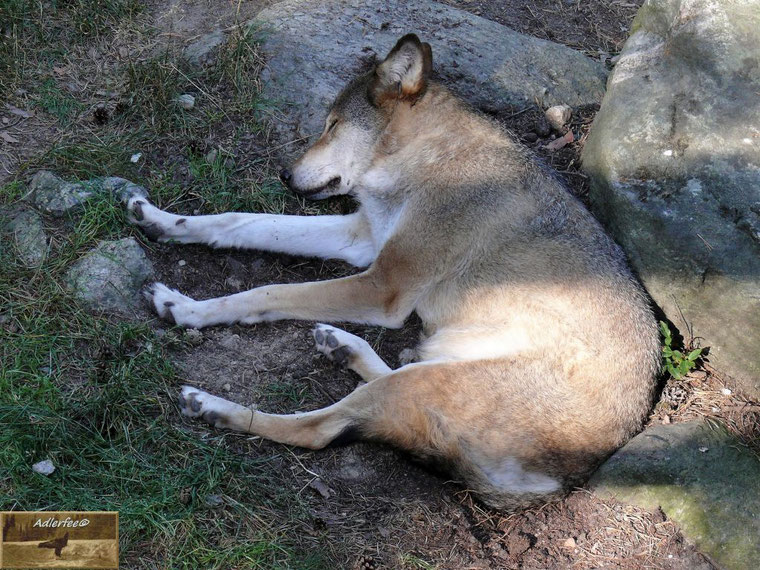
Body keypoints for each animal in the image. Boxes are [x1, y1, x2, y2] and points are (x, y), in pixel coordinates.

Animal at [126, 34, 660, 506]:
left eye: (333, 125)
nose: (283, 174)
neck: (429, 159)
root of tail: (565, 482)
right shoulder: (362, 240)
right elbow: (236, 221)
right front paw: (159, 220)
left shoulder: (381, 286)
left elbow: (266, 292)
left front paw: (185, 308)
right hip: (429, 368)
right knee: (377, 391)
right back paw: (342, 346)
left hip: (424, 379)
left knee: (320, 429)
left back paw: (211, 406)